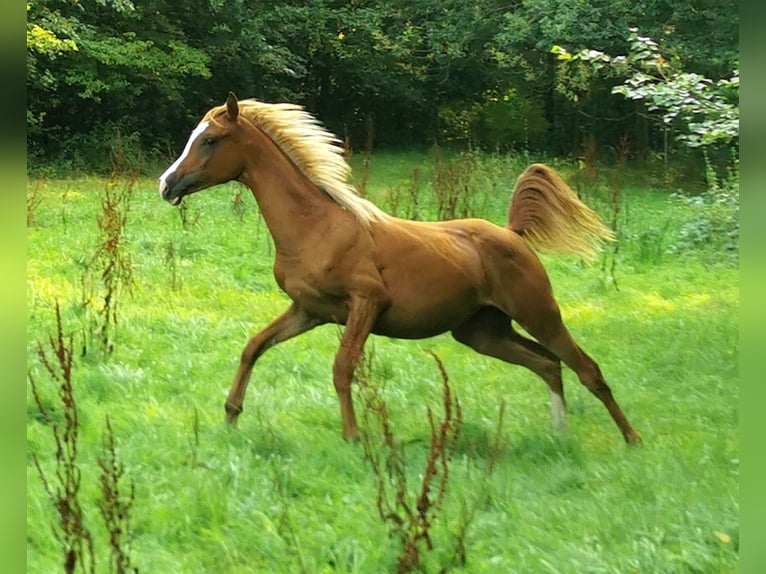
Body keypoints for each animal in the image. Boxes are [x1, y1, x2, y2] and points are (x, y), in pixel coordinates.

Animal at [158, 93, 640, 446]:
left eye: (210, 140)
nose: (166, 183)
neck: (316, 227)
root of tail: (512, 234)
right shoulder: (309, 310)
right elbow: (254, 346)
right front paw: (231, 415)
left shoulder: (367, 302)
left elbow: (342, 367)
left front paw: (353, 436)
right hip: (482, 331)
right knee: (548, 364)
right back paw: (559, 434)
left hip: (538, 312)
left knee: (585, 368)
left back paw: (630, 439)